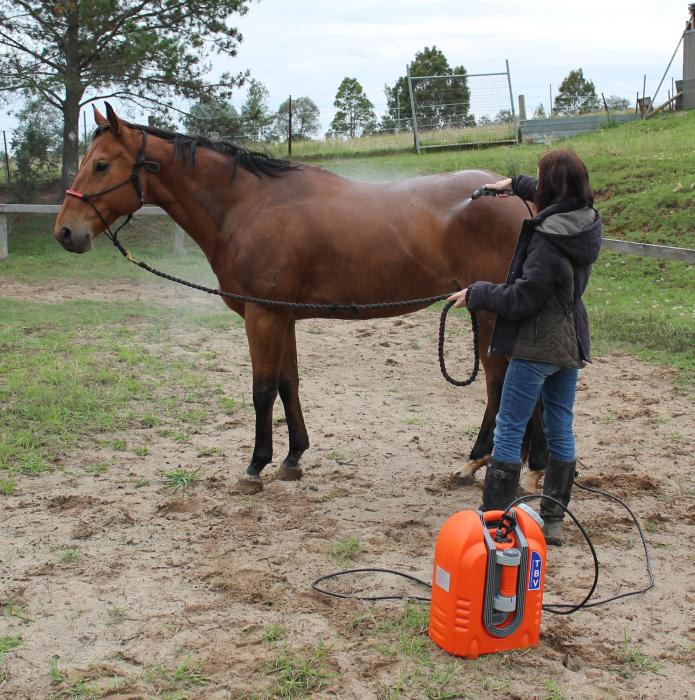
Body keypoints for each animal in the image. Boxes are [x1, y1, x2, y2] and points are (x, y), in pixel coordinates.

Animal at [54, 103, 546, 494]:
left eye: (101, 165)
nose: (66, 232)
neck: (247, 206)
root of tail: (516, 197)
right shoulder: (283, 317)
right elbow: (288, 384)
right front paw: (292, 459)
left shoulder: (262, 316)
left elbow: (262, 390)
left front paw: (255, 467)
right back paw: (518, 466)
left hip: (489, 311)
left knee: (500, 382)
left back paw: (485, 462)